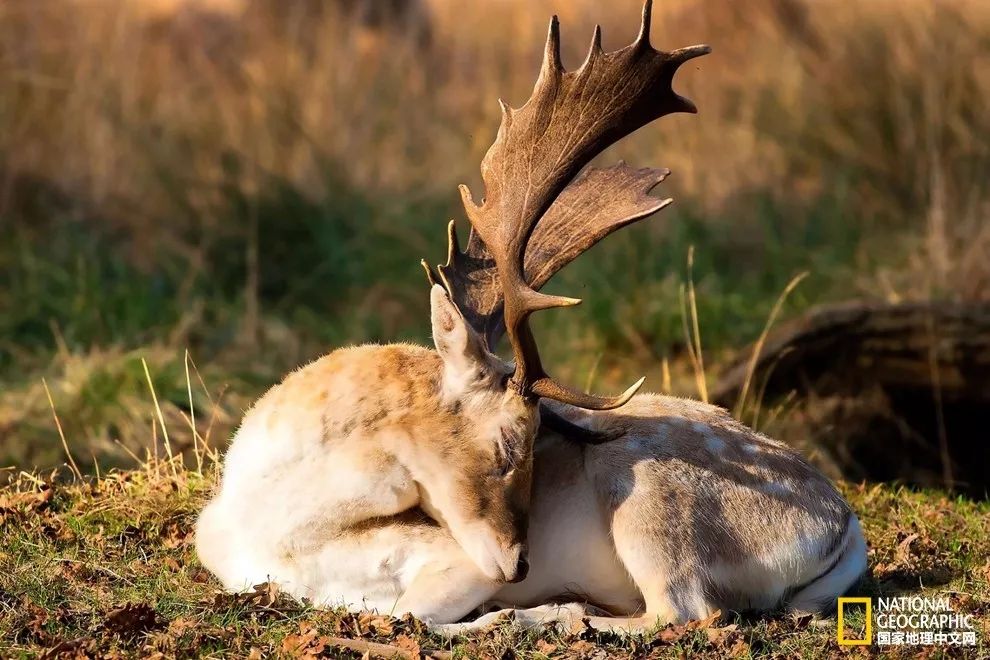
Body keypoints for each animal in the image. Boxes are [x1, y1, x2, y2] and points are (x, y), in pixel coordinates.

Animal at [196, 3, 868, 636]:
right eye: (508, 442)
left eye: (536, 442)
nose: (519, 565)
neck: (273, 527)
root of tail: (846, 526)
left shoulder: (454, 560)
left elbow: (409, 615)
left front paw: (509, 613)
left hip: (651, 500)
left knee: (687, 610)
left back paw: (558, 613)